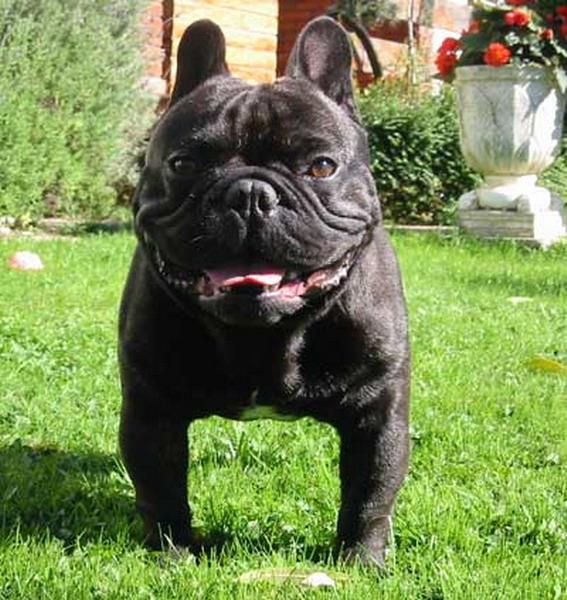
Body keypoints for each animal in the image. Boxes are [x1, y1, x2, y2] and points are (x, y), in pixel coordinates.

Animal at [118, 16, 410, 567]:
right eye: (184, 164)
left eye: (321, 166)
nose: (251, 193)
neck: (262, 336)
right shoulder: (151, 410)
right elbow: (161, 489)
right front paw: (172, 554)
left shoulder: (377, 414)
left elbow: (371, 491)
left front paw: (360, 561)